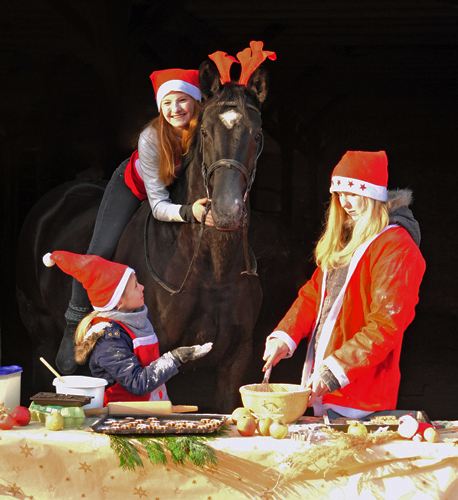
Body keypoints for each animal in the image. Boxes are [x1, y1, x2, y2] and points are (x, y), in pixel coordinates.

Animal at [17, 58, 268, 412]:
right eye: (206, 132)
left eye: (256, 135)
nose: (225, 210)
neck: (211, 270)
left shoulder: (235, 360)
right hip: (40, 330)